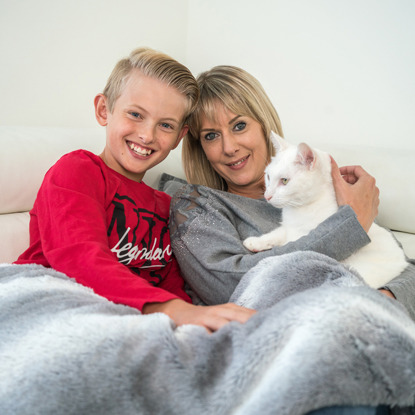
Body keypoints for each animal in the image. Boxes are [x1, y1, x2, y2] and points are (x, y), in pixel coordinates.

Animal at [244, 133, 410, 290]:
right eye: (268, 176)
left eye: (284, 181)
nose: (267, 196)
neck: (301, 208)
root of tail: (402, 261)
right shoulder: (288, 228)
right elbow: (276, 234)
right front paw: (256, 242)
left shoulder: (302, 235)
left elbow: (288, 245)